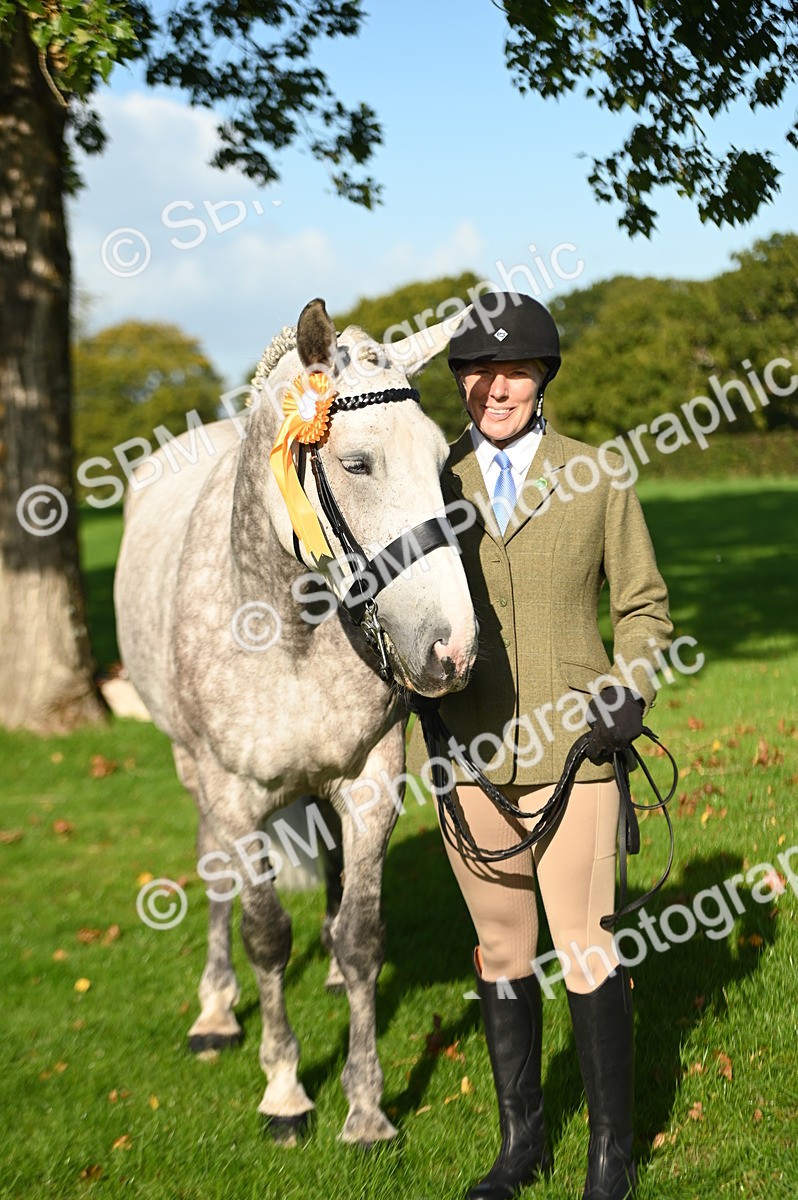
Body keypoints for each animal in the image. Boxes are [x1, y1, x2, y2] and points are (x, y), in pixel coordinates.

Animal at [114, 298, 477, 1146]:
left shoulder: (371, 782)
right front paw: (285, 1090)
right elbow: (266, 936)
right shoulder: (235, 793)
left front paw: (368, 1106)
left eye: (444, 463)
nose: (451, 648)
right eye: (358, 464)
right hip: (194, 772)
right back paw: (216, 1011)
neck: (283, 625)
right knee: (215, 872)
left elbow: (364, 933)